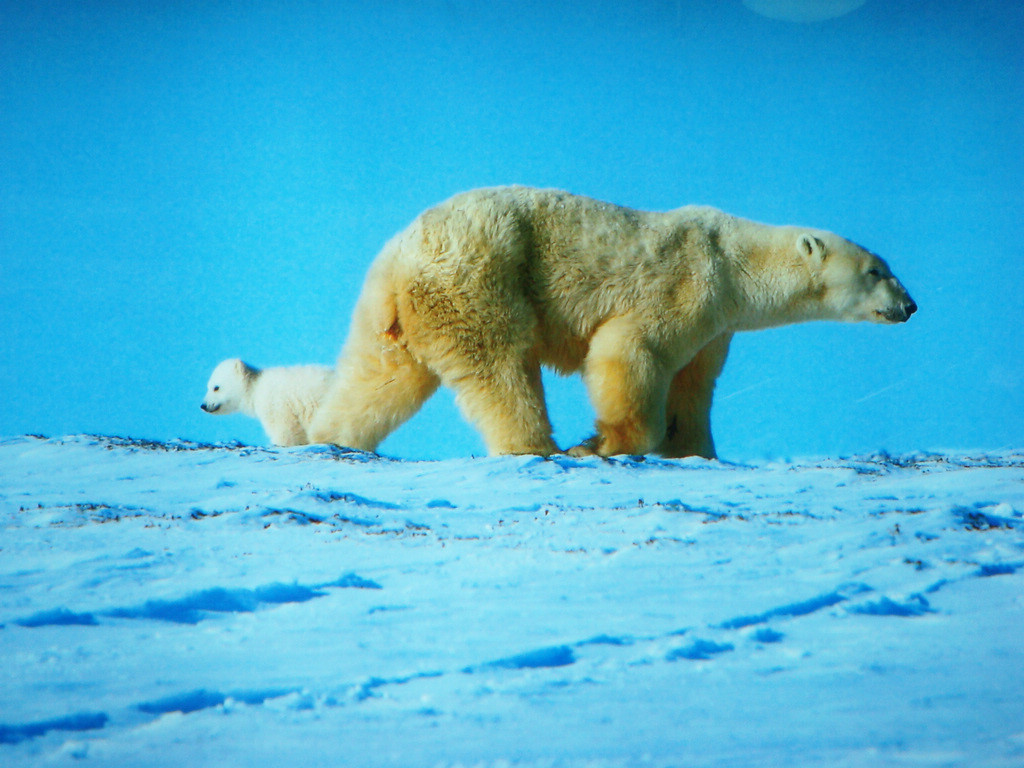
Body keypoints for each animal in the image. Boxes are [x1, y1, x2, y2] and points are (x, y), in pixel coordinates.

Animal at [197, 360, 329, 444]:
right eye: (208, 386)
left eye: (216, 387)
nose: (204, 405)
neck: (256, 387)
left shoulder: (277, 404)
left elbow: (285, 431)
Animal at [307, 189, 917, 460]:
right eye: (876, 271)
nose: (911, 306)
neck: (734, 261)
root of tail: (403, 251)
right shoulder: (686, 283)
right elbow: (630, 352)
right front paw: (602, 442)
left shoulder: (716, 326)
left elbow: (693, 386)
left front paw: (694, 448)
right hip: (480, 276)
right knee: (502, 366)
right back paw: (541, 447)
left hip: (393, 306)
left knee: (384, 373)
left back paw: (332, 437)